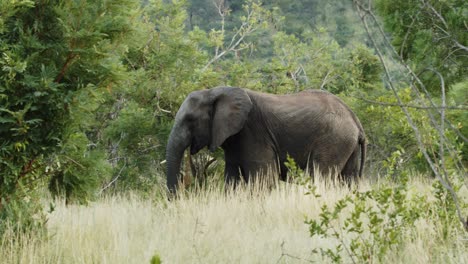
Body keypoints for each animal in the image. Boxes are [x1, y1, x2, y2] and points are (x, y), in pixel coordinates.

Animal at [165, 86, 366, 194]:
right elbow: (232, 178)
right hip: (346, 143)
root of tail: (355, 120)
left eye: (190, 120)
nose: (174, 199)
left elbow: (264, 179)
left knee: (320, 175)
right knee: (348, 179)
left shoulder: (253, 131)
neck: (214, 91)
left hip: (333, 140)